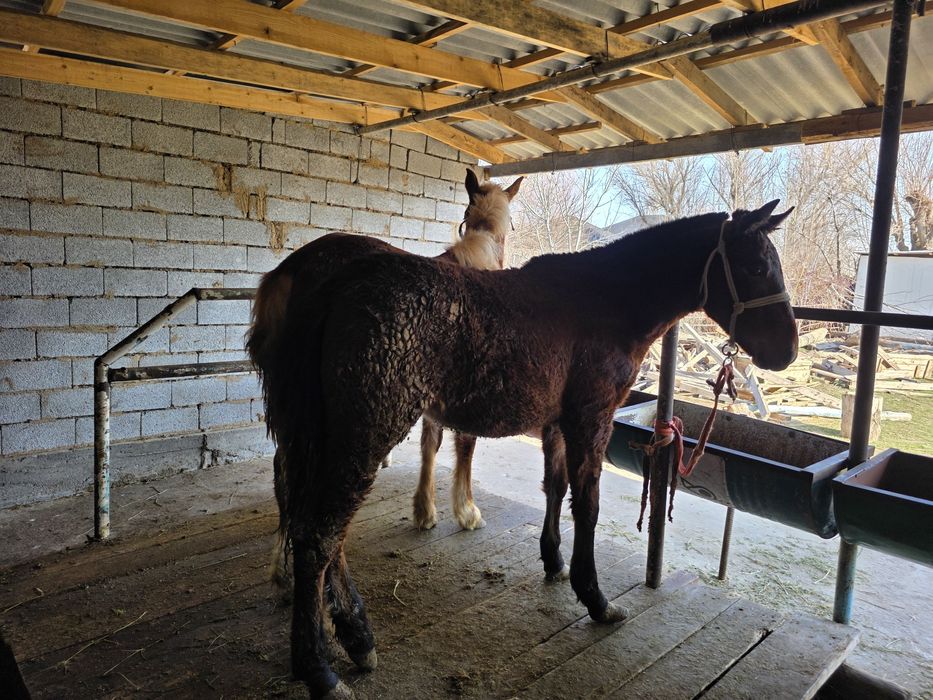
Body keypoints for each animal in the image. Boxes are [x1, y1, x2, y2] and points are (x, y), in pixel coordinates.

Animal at [247, 170, 522, 591]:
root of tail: (287, 272)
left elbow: (430, 445)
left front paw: (424, 510)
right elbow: (464, 447)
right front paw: (466, 511)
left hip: (293, 406)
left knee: (286, 471)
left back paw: (281, 567)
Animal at [258, 200, 798, 697]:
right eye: (755, 266)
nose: (787, 351)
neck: (605, 300)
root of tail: (333, 285)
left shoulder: (558, 423)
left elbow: (555, 489)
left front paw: (554, 562)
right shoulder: (591, 418)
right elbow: (588, 505)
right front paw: (595, 597)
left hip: (322, 433)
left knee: (318, 526)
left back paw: (356, 636)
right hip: (365, 430)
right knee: (320, 535)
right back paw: (321, 669)